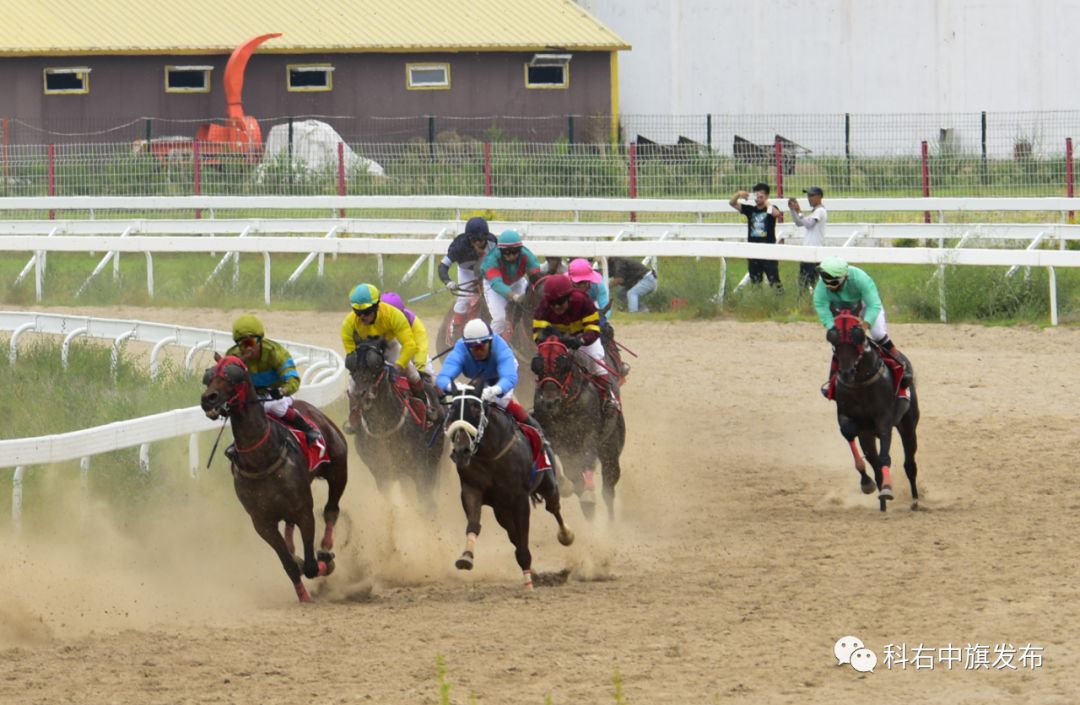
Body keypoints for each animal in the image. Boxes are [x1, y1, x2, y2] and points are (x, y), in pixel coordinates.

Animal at [200, 351, 347, 600]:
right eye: (208, 376)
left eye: (234, 376)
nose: (208, 399)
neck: (261, 460)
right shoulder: (261, 522)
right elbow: (290, 564)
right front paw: (303, 594)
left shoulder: (304, 510)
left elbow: (311, 566)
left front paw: (324, 562)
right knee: (290, 529)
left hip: (338, 471)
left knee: (331, 510)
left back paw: (326, 547)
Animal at [347, 339, 444, 509]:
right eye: (351, 365)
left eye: (376, 365)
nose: (360, 395)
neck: (384, 427)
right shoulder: (381, 475)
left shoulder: (420, 470)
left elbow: (426, 502)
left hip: (434, 457)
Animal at [440, 382, 574, 587]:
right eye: (452, 409)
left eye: (476, 408)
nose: (461, 451)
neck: (491, 454)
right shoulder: (472, 489)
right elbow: (474, 523)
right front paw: (466, 557)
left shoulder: (520, 498)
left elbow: (524, 536)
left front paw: (529, 583)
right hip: (501, 510)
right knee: (513, 534)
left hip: (548, 484)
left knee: (553, 507)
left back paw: (566, 535)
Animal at [531, 332, 626, 520]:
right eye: (538, 364)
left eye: (563, 363)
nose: (550, 401)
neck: (567, 405)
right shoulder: (558, 441)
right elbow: (571, 473)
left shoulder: (590, 433)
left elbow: (588, 458)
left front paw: (588, 496)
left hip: (610, 447)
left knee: (608, 488)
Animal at [825, 310, 920, 509]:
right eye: (834, 342)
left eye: (858, 339)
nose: (846, 372)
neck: (860, 383)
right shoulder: (847, 417)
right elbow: (848, 433)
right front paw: (866, 482)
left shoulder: (884, 418)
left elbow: (885, 456)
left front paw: (887, 489)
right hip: (867, 436)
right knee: (876, 466)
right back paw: (882, 503)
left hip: (908, 425)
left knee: (910, 464)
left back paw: (915, 500)